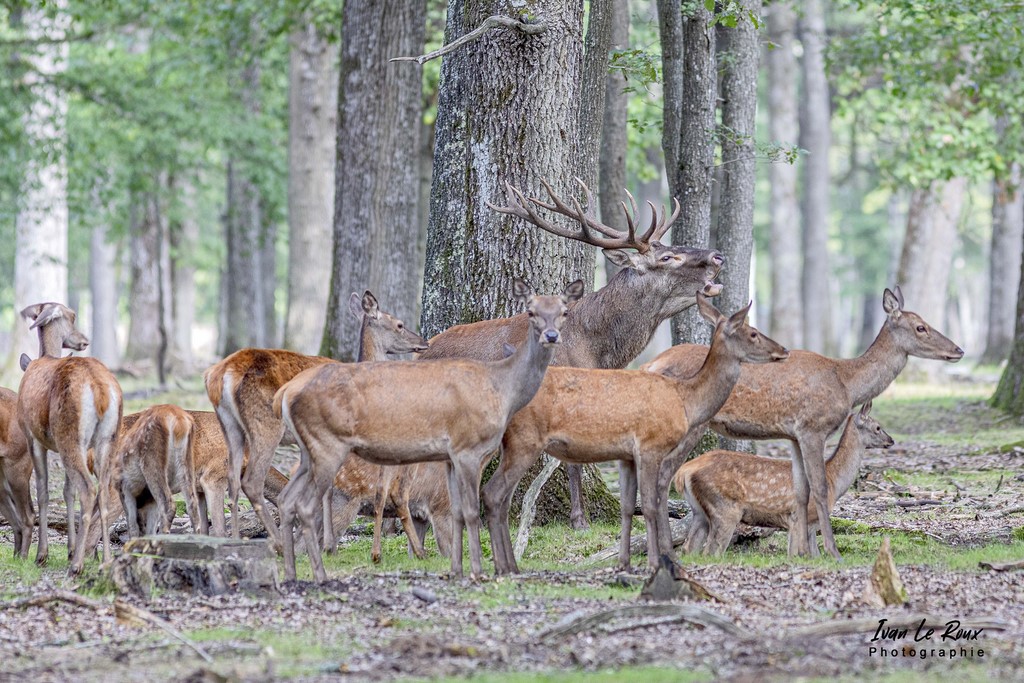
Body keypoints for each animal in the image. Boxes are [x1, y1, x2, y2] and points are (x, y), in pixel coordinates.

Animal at [16, 302, 122, 573]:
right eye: (72, 317)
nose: (84, 340)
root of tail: (100, 389)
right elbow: (67, 491)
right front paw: (70, 549)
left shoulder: (33, 436)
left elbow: (43, 491)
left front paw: (42, 555)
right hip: (106, 438)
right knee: (103, 491)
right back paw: (105, 560)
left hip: (70, 435)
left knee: (88, 488)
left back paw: (77, 566)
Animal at [204, 290, 429, 547]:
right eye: (400, 324)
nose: (424, 342)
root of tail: (221, 373)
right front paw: (327, 542)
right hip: (265, 425)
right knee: (251, 481)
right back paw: (278, 544)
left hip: (230, 425)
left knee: (232, 480)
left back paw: (235, 539)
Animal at [275, 279, 583, 582]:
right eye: (399, 324)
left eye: (564, 312)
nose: (422, 341)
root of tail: (285, 394)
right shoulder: (457, 451)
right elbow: (462, 509)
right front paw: (474, 569)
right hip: (332, 449)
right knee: (309, 503)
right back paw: (322, 570)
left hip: (311, 455)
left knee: (287, 499)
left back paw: (295, 567)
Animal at [482, 294, 788, 574]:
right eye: (752, 332)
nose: (783, 350)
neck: (686, 400)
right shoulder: (650, 446)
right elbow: (651, 505)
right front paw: (656, 561)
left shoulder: (626, 455)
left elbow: (628, 507)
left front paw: (624, 562)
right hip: (525, 441)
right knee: (493, 493)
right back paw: (505, 567)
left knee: (501, 497)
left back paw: (507, 565)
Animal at [677, 401, 894, 555]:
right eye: (877, 427)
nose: (891, 440)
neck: (833, 480)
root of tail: (684, 471)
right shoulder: (799, 517)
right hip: (725, 508)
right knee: (711, 551)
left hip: (699, 511)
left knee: (689, 548)